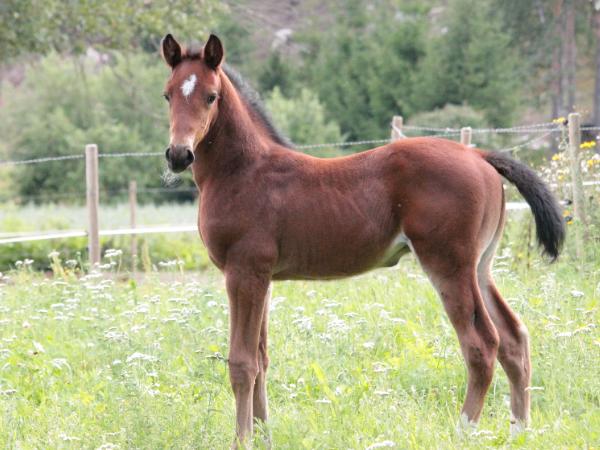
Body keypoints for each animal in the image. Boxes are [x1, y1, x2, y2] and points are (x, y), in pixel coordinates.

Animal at [160, 33, 565, 446]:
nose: (178, 154)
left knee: (482, 344)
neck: (243, 171)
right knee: (514, 338)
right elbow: (261, 358)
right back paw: (520, 430)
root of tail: (479, 154)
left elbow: (242, 363)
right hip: (481, 266)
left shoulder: (243, 272)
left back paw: (462, 431)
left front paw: (242, 441)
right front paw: (264, 436)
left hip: (448, 265)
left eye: (211, 96)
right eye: (168, 94)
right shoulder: (263, 278)